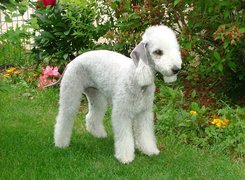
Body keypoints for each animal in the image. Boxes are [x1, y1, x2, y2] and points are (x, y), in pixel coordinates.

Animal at [54, 24, 183, 164]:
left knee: (92, 116)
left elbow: (145, 133)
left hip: (96, 96)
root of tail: (72, 62)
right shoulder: (122, 113)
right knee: (64, 118)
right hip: (71, 93)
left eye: (175, 49)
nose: (176, 69)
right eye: (158, 52)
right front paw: (125, 157)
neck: (136, 77)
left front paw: (149, 150)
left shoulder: (144, 113)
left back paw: (98, 134)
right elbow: (124, 136)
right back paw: (60, 143)